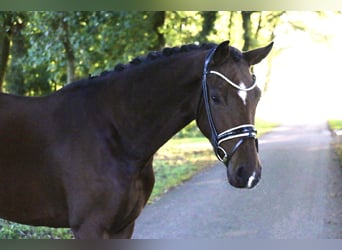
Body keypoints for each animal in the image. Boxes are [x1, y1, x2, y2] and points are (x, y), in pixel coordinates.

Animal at [0, 40, 272, 238]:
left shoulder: (123, 227)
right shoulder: (90, 228)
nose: (248, 172)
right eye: (215, 97)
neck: (114, 135)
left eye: (257, 96)